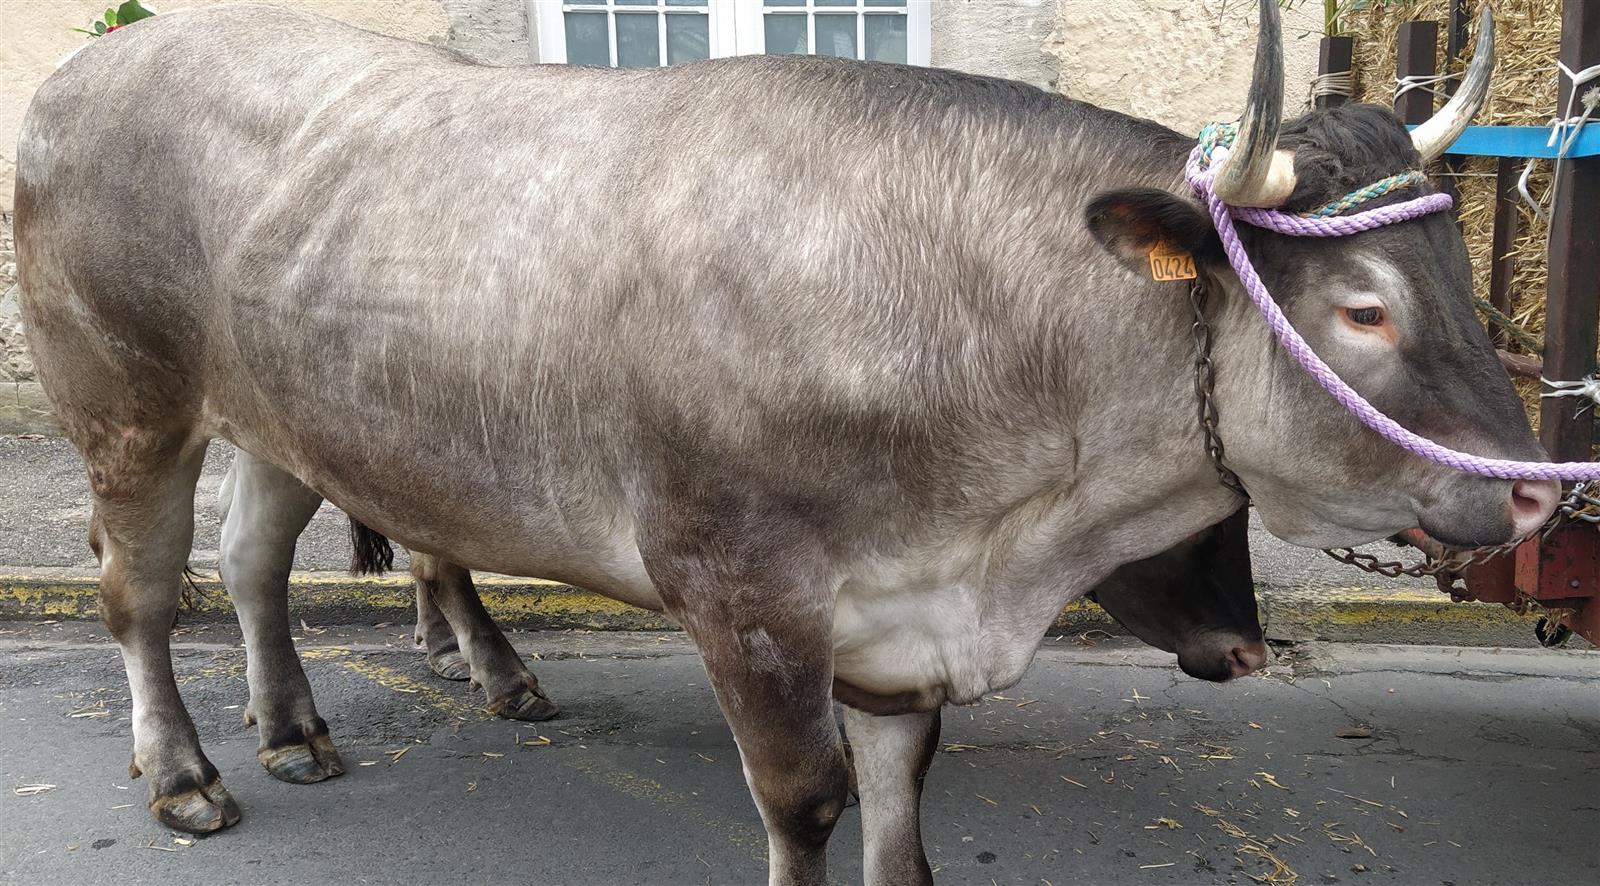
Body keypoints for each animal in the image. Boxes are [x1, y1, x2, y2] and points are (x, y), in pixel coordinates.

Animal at [12, 1, 1555, 876]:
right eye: (1361, 309)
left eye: (1461, 283)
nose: (1541, 495)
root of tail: (106, 61)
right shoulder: (746, 597)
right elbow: (806, 803)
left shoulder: (898, 614)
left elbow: (899, 805)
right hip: (125, 401)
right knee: (139, 592)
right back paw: (190, 775)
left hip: (280, 408)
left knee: (252, 558)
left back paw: (292, 727)